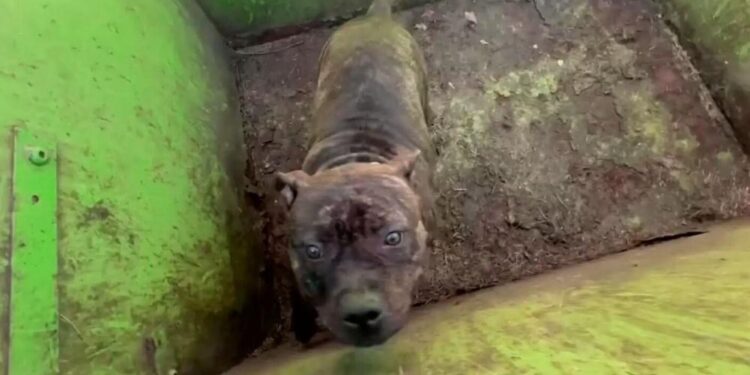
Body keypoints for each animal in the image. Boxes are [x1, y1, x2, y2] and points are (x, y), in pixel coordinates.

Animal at [278, 0, 438, 348]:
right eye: (313, 251)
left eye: (393, 238)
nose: (361, 313)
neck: (355, 157)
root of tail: (376, 18)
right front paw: (302, 324)